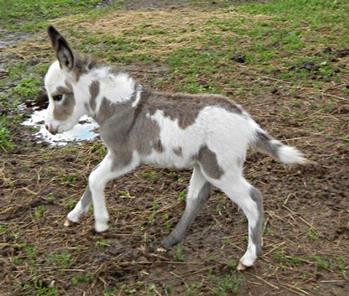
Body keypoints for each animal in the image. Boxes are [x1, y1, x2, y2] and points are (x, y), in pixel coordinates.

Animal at [44, 26, 308, 272]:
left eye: (57, 96)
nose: (49, 127)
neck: (120, 107)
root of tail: (247, 123)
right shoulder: (112, 155)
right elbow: (91, 179)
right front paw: (73, 216)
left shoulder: (124, 157)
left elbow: (95, 178)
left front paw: (101, 223)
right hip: (204, 165)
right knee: (197, 198)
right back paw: (170, 241)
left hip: (220, 170)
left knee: (253, 200)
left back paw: (249, 258)